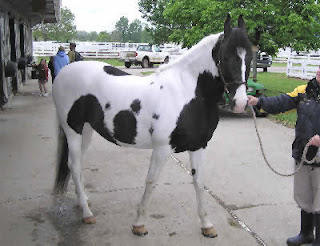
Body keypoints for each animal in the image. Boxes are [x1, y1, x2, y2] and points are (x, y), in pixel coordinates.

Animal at [52, 14, 252, 237]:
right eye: (225, 57)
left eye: (251, 56)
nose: (240, 103)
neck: (187, 93)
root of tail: (64, 72)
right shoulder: (162, 149)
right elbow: (151, 182)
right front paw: (139, 224)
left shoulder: (199, 146)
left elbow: (199, 183)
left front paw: (207, 225)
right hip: (73, 130)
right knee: (74, 165)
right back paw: (87, 214)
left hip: (86, 131)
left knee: (78, 164)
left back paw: (84, 201)